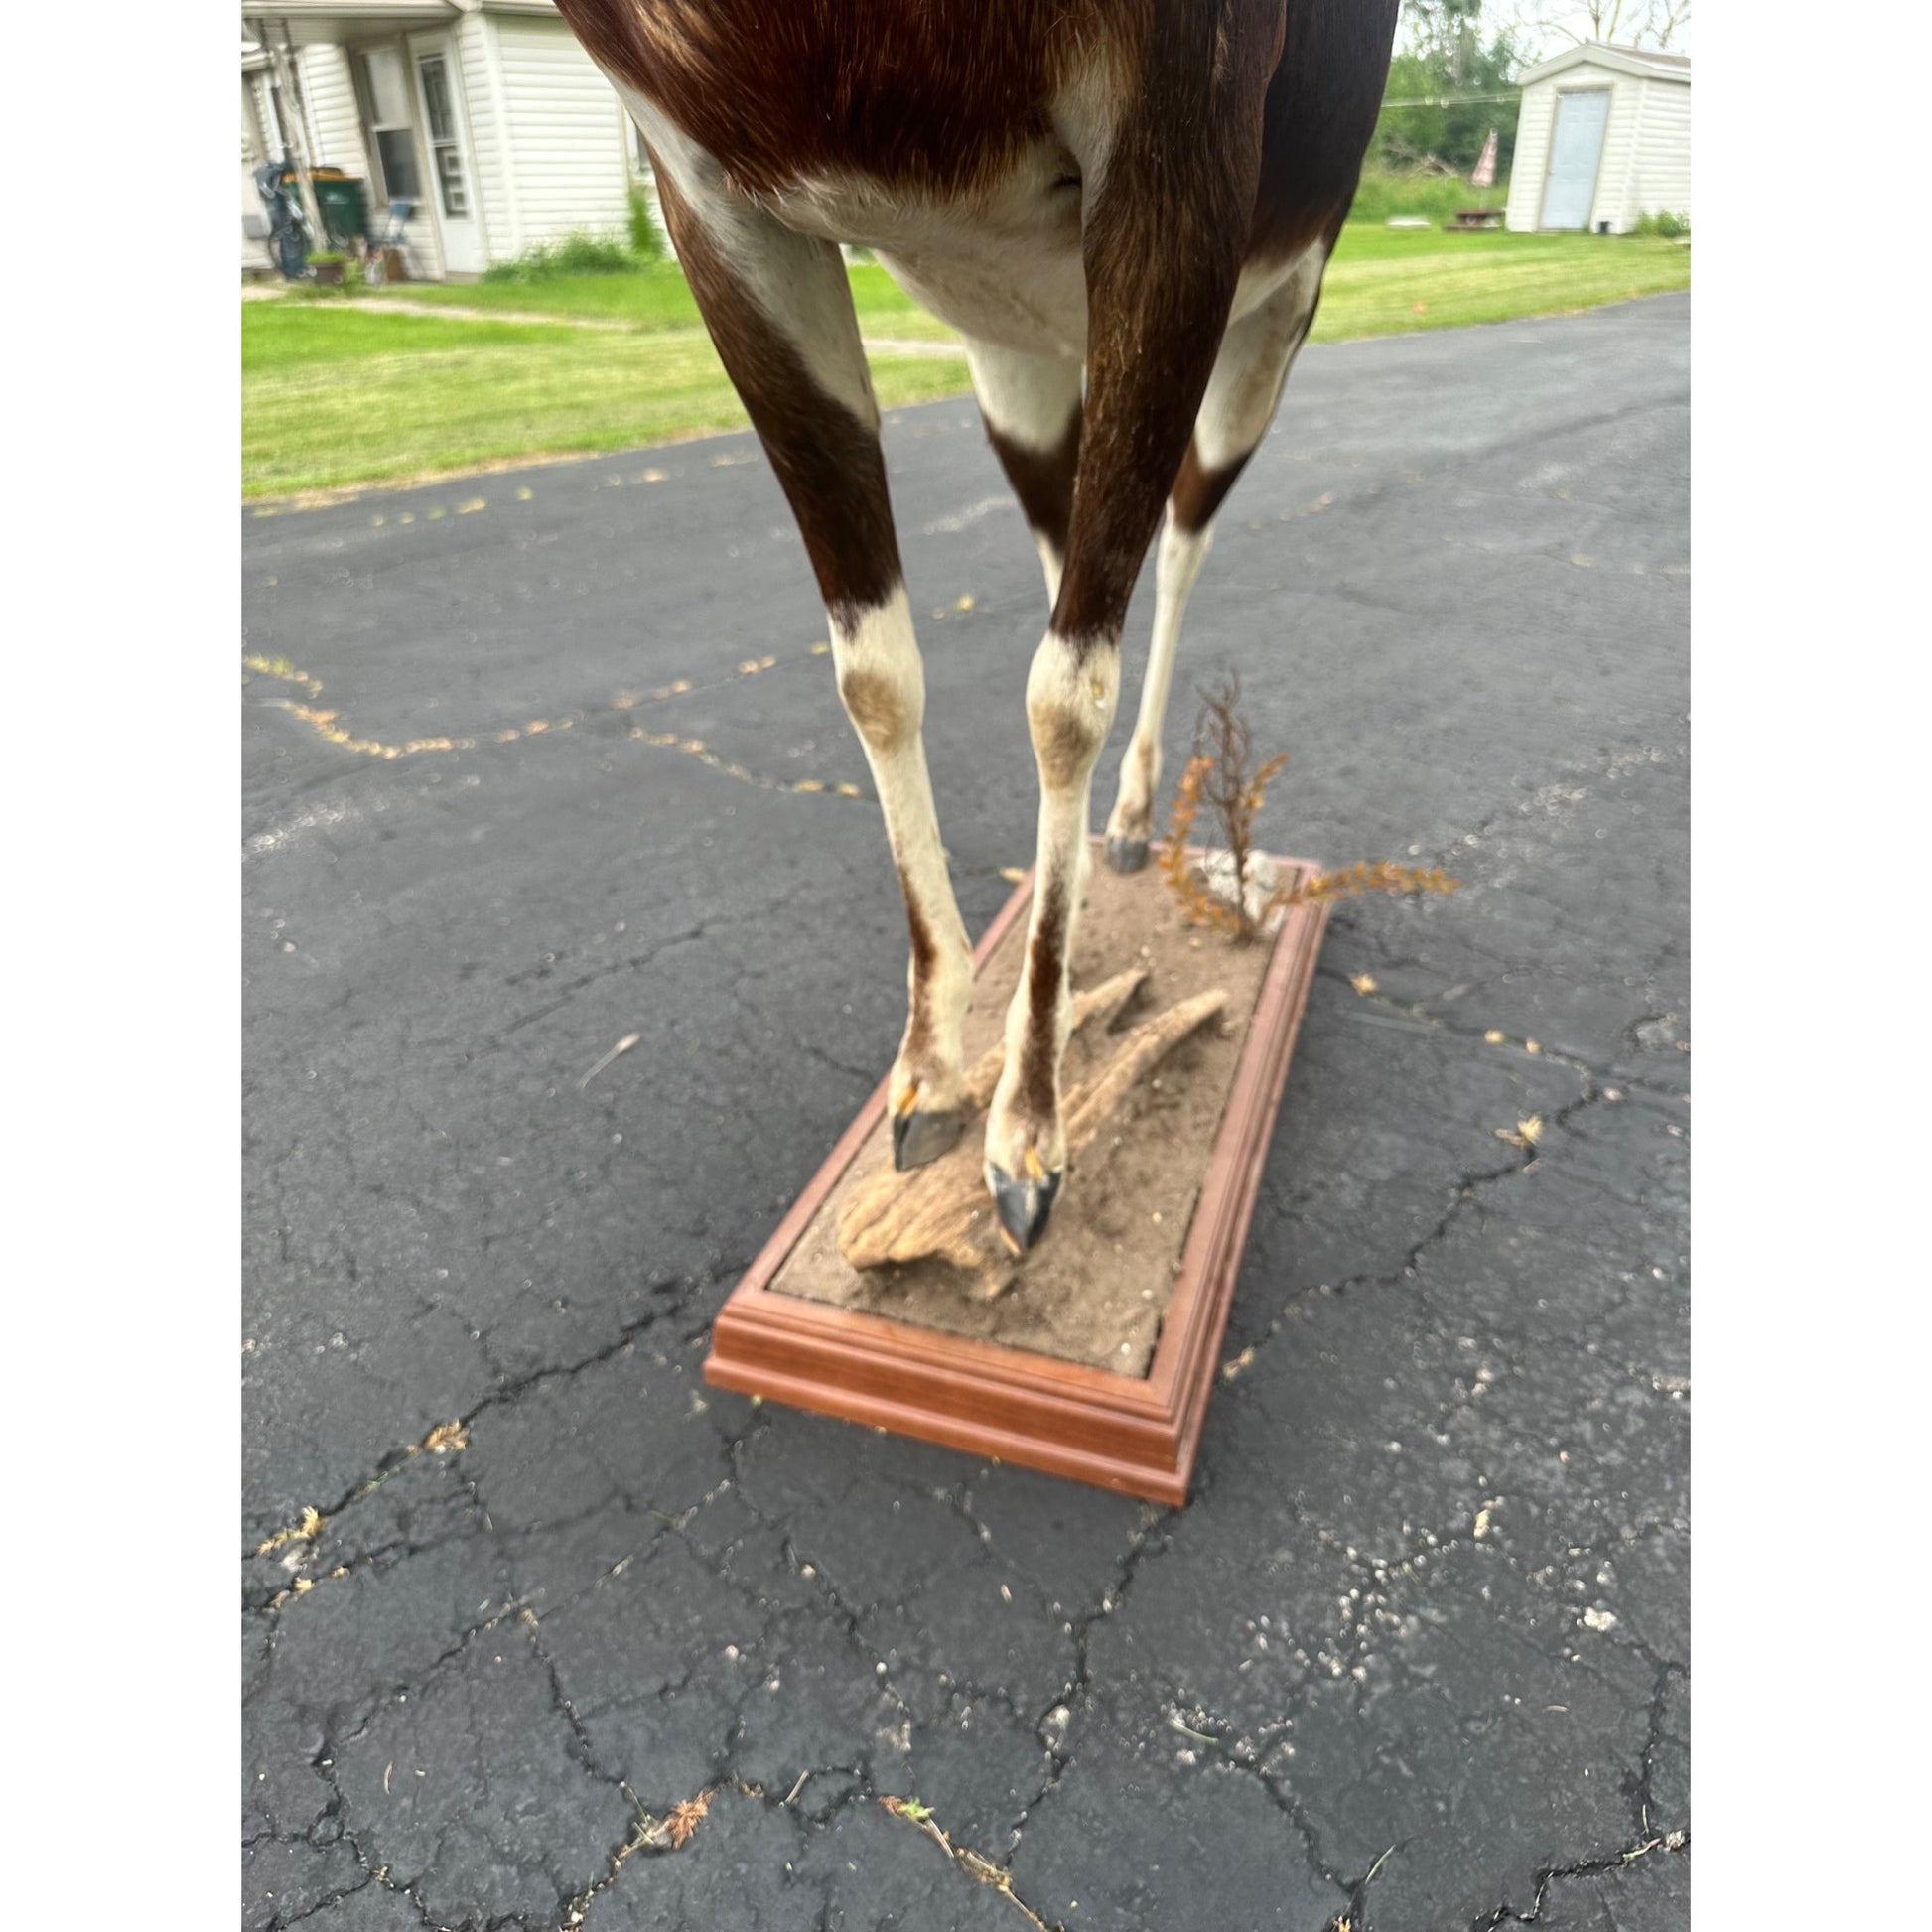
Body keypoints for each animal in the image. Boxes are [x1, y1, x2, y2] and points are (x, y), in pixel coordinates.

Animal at [554, 1, 1400, 1249]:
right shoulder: (710, 200)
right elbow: (873, 672)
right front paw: (929, 1074)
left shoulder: (1179, 145)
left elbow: (1065, 697)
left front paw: (1029, 1133)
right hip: (1017, 348)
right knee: (1076, 559)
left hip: (1270, 313)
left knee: (1176, 546)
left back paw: (1135, 816)